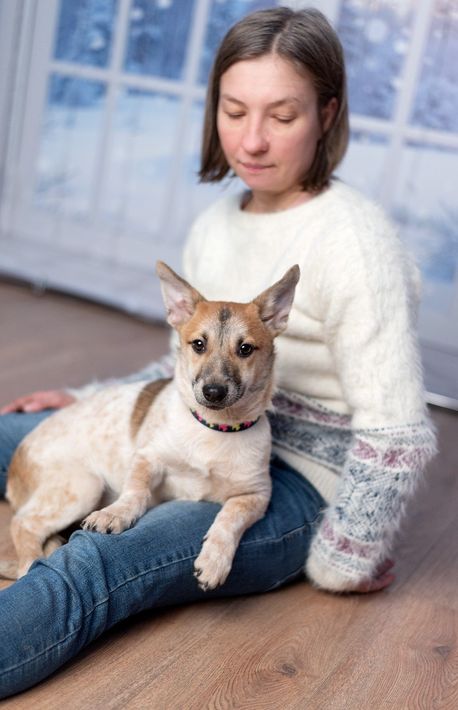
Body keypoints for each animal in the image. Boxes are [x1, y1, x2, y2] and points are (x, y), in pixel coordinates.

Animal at [2, 261, 299, 590]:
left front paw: (214, 560)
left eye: (245, 349)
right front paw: (115, 514)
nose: (213, 392)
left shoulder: (255, 495)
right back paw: (30, 563)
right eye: (198, 345)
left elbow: (229, 519)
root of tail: (16, 463)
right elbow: (136, 491)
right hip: (83, 486)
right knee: (23, 523)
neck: (214, 428)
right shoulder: (148, 458)